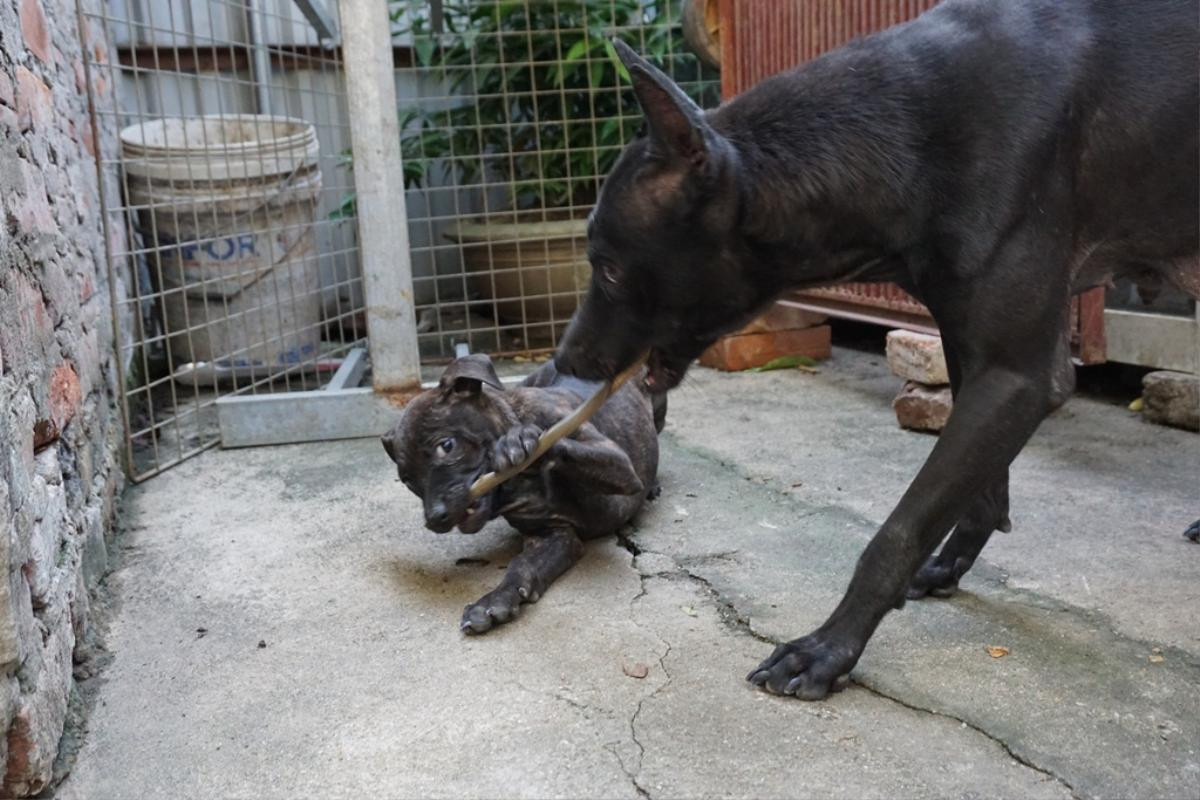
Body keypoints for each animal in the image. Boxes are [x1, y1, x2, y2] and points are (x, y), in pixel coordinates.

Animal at [381, 352, 667, 633]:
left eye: (447, 446)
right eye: (407, 481)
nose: (434, 519)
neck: (516, 486)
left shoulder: (619, 465)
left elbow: (556, 442)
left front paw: (516, 440)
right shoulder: (550, 534)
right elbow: (523, 566)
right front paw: (496, 600)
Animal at [556, 0, 1200, 700]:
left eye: (609, 268)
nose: (565, 362)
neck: (915, 134)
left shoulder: (1018, 375)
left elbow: (898, 529)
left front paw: (828, 649)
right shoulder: (968, 348)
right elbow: (980, 487)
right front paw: (950, 562)